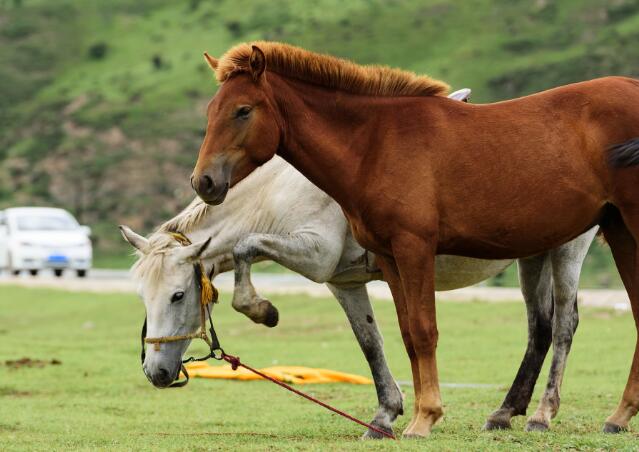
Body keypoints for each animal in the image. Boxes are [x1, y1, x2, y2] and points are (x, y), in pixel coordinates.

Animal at [122, 153, 596, 438]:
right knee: (539, 328)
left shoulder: (314, 254)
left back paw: (542, 414)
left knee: (564, 327)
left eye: (178, 295)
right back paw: (504, 412)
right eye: (143, 297)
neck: (280, 193)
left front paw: (263, 310)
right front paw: (385, 415)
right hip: (532, 256)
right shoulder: (343, 281)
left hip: (567, 251)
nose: (156, 372)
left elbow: (246, 246)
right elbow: (371, 343)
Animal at [192, 42, 639, 438]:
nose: (204, 182)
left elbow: (425, 331)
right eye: (211, 111)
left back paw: (545, 415)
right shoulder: (389, 259)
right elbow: (406, 334)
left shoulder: (413, 249)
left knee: (564, 325)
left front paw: (425, 418)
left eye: (243, 110)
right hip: (603, 237)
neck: (375, 144)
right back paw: (611, 416)